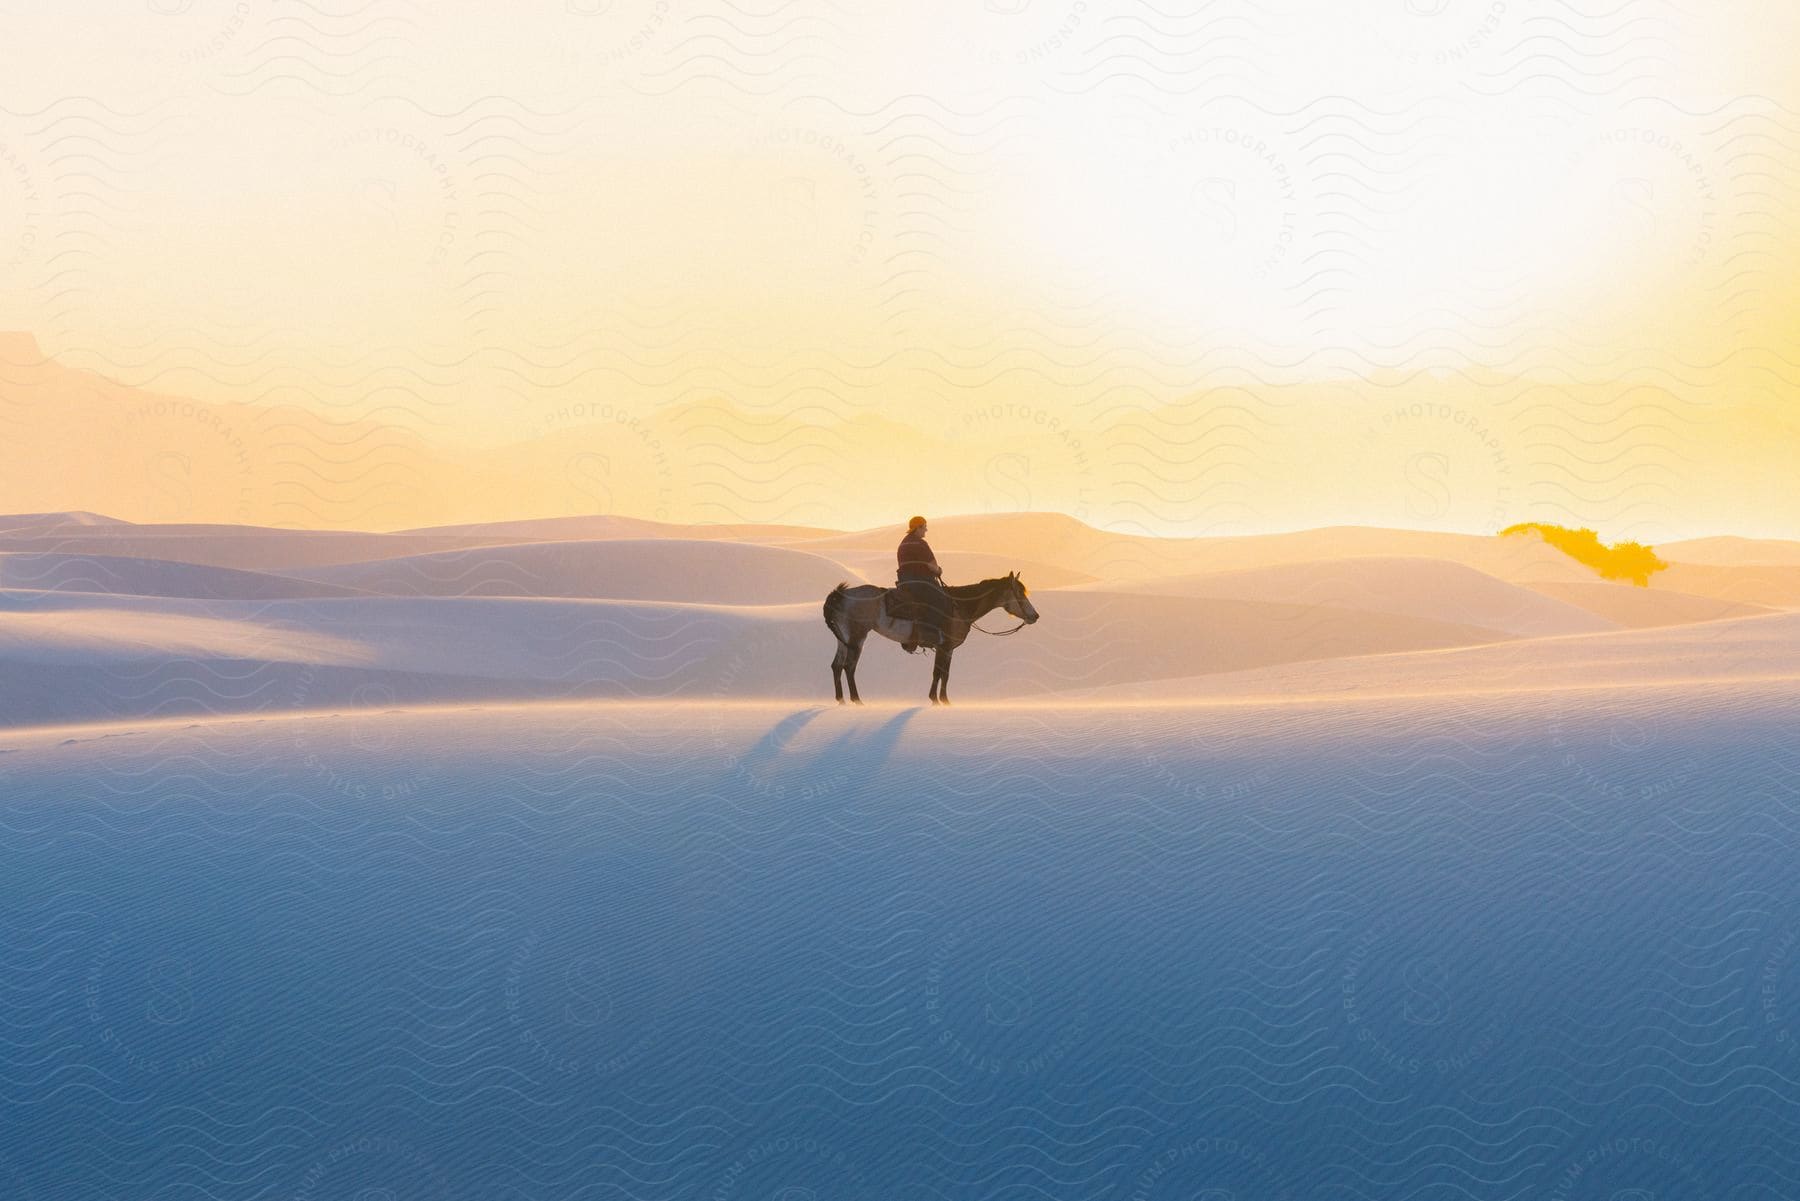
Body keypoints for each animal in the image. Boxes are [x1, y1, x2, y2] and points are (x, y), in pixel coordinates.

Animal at [820, 572, 1044, 705]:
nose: (1035, 616)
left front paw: (940, 700)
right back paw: (857, 700)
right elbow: (940, 673)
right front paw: (939, 700)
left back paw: (841, 700)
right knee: (849, 667)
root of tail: (841, 595)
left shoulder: (946, 648)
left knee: (836, 666)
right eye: (1019, 593)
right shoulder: (945, 646)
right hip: (857, 637)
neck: (961, 606)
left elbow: (942, 673)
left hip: (843, 638)